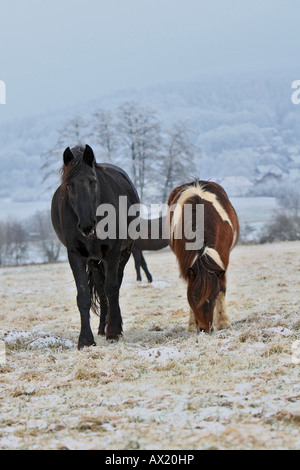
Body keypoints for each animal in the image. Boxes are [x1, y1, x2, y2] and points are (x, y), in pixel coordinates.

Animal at [51, 145, 141, 346]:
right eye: (70, 185)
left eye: (93, 182)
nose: (86, 224)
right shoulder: (76, 254)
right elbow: (84, 296)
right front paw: (85, 339)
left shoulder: (113, 253)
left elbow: (112, 289)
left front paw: (114, 332)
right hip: (94, 260)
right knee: (100, 289)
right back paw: (101, 327)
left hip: (123, 253)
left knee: (113, 287)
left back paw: (113, 326)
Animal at [166, 180, 239, 334]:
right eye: (194, 298)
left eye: (213, 296)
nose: (205, 329)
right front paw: (192, 325)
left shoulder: (223, 258)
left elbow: (222, 288)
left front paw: (224, 322)